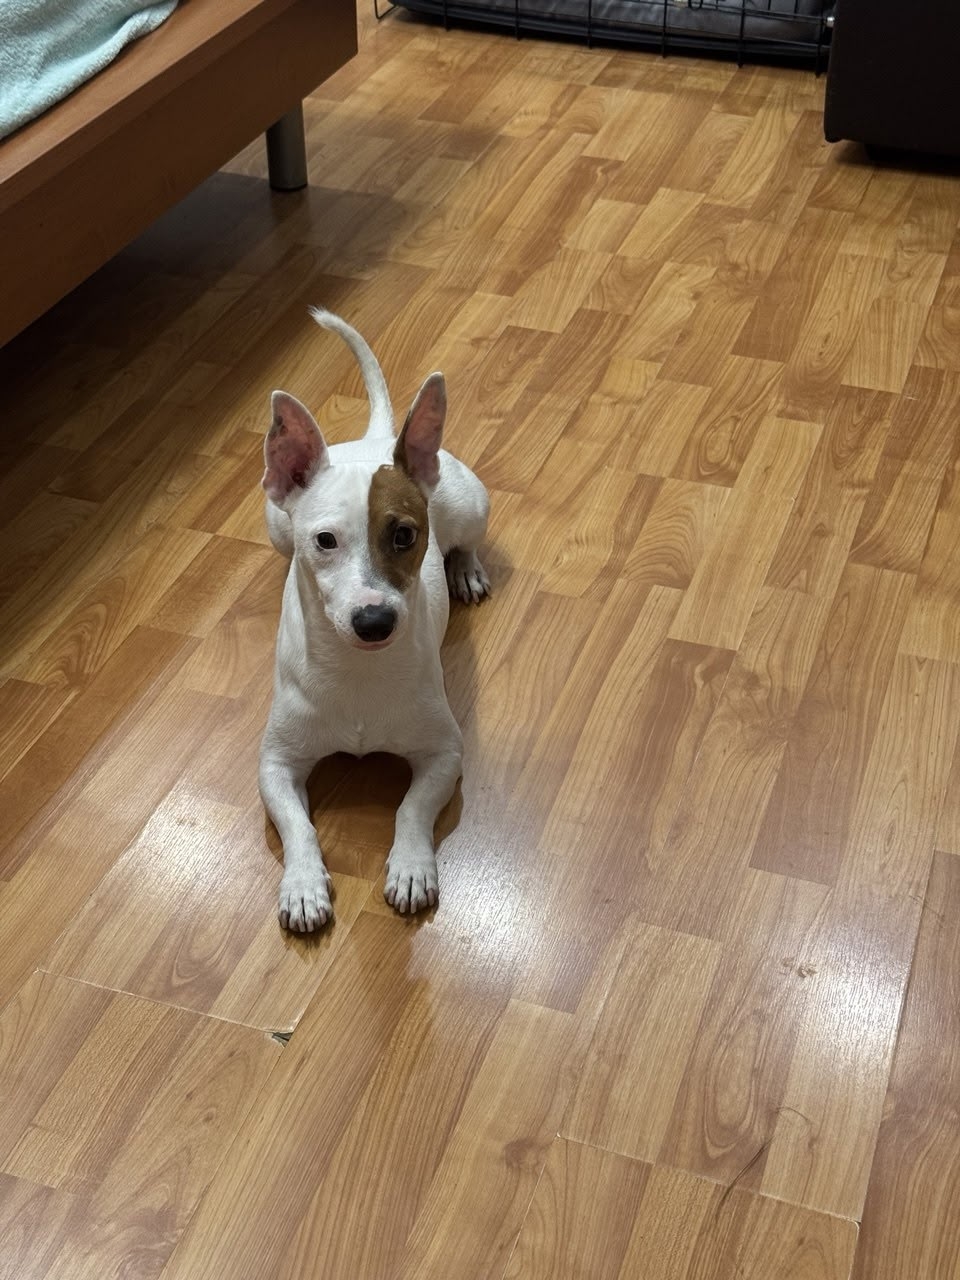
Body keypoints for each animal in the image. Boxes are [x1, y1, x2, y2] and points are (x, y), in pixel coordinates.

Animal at [259, 309, 490, 933]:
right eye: (325, 541)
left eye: (405, 535)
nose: (374, 621)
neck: (357, 671)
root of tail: (375, 439)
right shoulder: (276, 763)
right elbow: (297, 825)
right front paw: (303, 886)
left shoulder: (444, 754)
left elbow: (412, 808)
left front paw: (411, 867)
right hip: (274, 524)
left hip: (471, 505)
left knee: (469, 539)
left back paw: (466, 569)